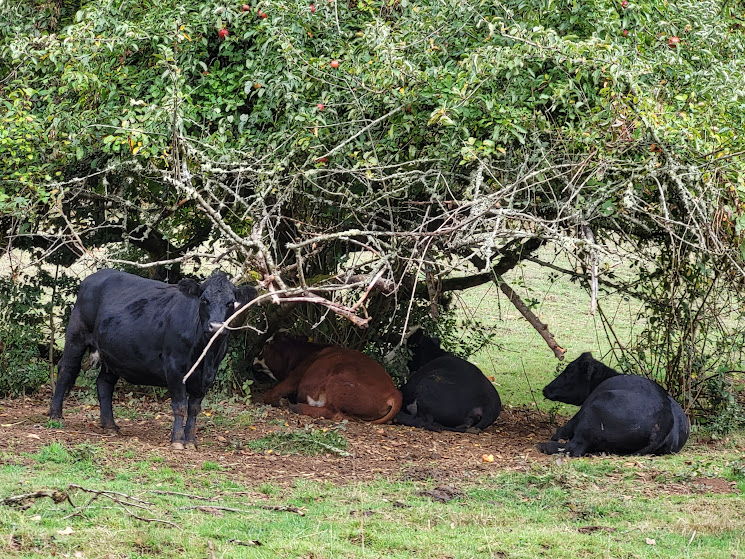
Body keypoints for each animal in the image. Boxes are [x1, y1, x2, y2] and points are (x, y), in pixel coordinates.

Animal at [49, 269, 258, 450]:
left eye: (231, 303)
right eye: (204, 299)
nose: (216, 327)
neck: (205, 355)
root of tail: (97, 274)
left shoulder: (208, 376)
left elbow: (194, 408)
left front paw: (191, 441)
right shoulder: (174, 368)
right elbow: (180, 406)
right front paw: (177, 441)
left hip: (114, 352)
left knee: (104, 383)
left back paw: (110, 425)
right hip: (77, 335)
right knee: (67, 369)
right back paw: (55, 415)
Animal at [254, 332, 402, 423]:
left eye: (265, 347)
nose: (254, 359)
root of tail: (395, 392)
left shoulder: (295, 377)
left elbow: (270, 394)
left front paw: (280, 401)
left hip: (336, 382)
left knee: (333, 412)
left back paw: (297, 407)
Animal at [537, 352, 690, 456]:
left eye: (569, 371)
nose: (546, 389)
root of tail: (666, 414)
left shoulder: (579, 414)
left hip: (594, 409)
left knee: (574, 447)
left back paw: (545, 445)